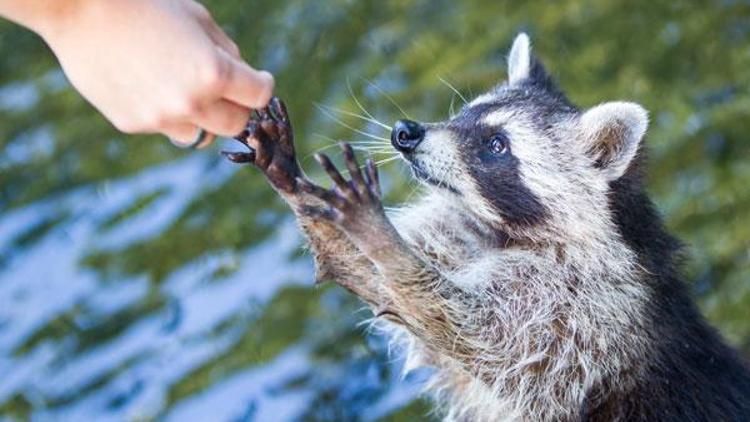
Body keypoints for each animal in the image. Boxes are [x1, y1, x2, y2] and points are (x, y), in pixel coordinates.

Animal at [225, 32, 750, 418]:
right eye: (464, 113)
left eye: (496, 145)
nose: (405, 133)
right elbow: (368, 278)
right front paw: (303, 193)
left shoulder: (586, 312)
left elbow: (476, 333)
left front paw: (380, 239)